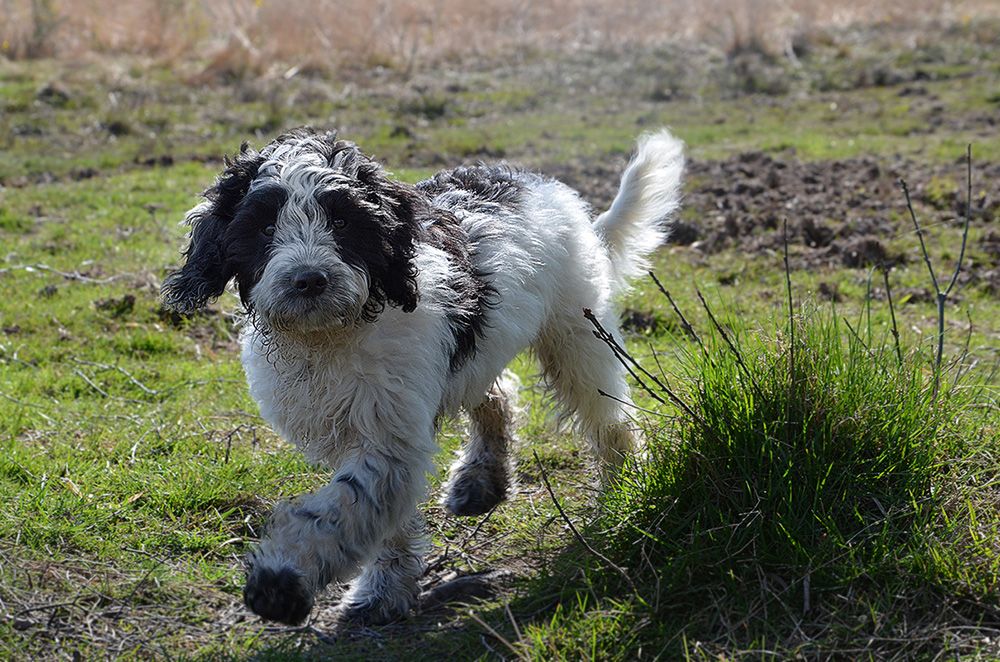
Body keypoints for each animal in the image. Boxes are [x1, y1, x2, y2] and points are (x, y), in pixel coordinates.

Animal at [160, 128, 684, 628]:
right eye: (265, 226)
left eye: (343, 222)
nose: (309, 280)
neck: (334, 332)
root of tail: (546, 188)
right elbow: (378, 516)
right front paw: (385, 591)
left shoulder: (387, 437)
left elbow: (344, 508)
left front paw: (283, 580)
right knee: (499, 394)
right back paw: (481, 481)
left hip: (578, 335)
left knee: (610, 421)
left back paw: (620, 490)